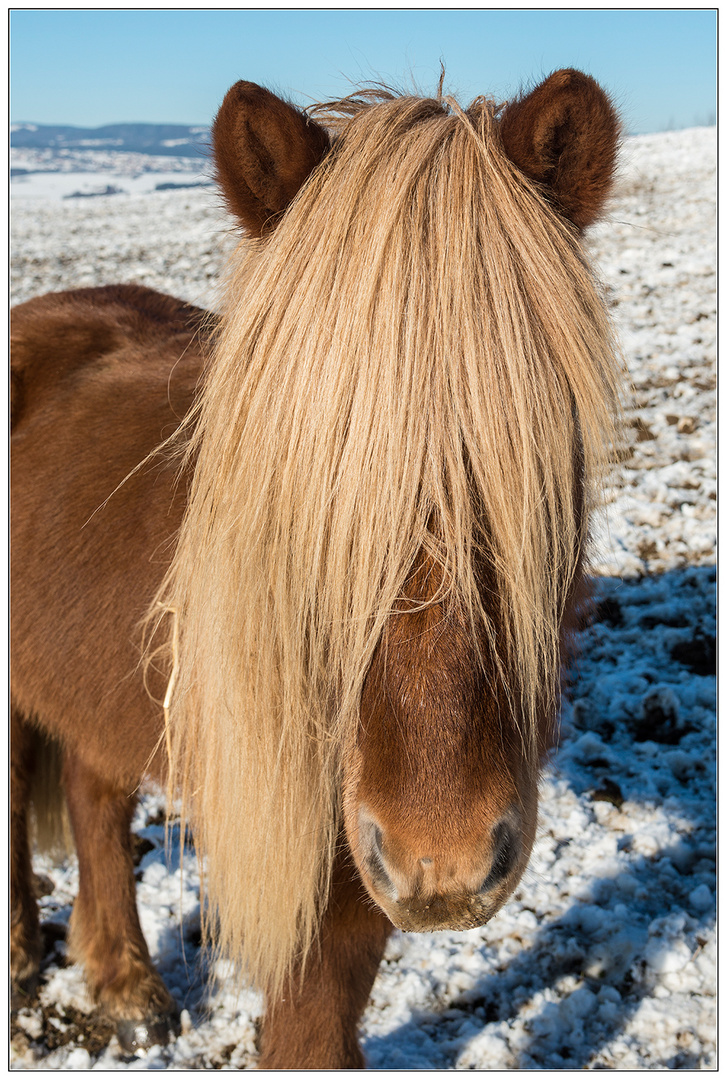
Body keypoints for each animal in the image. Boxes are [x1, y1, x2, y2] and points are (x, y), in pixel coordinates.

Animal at [9, 69, 617, 1071]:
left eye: (542, 451)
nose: (442, 861)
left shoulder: (353, 882)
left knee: (93, 790)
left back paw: (127, 988)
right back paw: (29, 952)